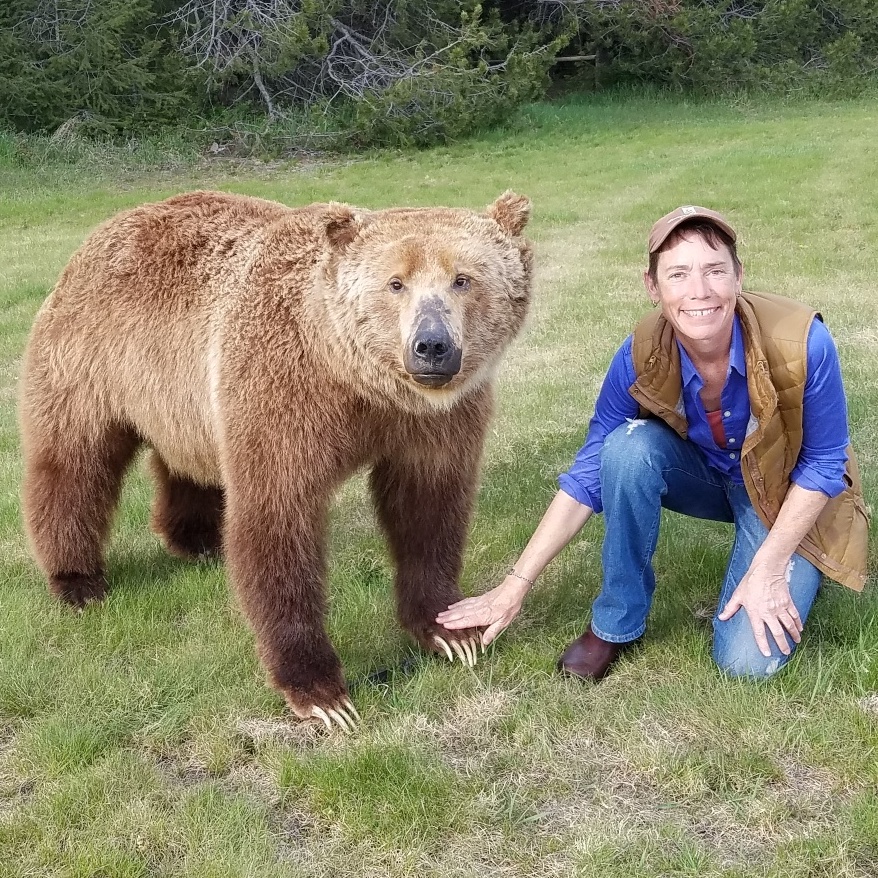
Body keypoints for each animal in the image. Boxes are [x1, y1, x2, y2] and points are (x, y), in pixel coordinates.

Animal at [17, 189, 532, 732]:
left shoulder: (434, 422)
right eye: (395, 283)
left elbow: (427, 507)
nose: (431, 346)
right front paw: (322, 693)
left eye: (463, 279)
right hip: (90, 360)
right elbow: (279, 520)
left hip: (180, 401)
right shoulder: (284, 394)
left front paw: (451, 630)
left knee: (188, 466)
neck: (360, 384)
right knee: (73, 462)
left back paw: (197, 540)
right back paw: (77, 580)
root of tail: (104, 229)